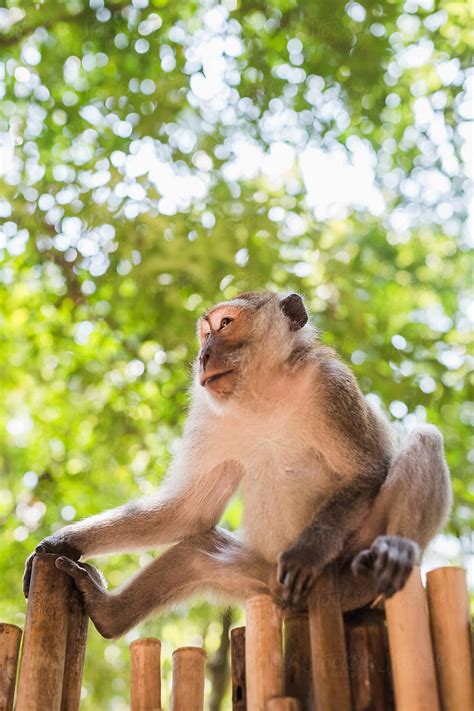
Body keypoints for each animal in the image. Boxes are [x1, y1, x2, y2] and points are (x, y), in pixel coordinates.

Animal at [23, 291, 451, 639]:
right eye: (205, 333)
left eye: (226, 324)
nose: (203, 355)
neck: (264, 395)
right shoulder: (208, 416)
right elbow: (187, 512)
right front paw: (60, 542)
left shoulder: (331, 385)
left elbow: (367, 471)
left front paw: (308, 553)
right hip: (263, 581)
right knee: (197, 554)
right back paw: (107, 612)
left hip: (346, 564)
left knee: (425, 441)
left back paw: (395, 552)